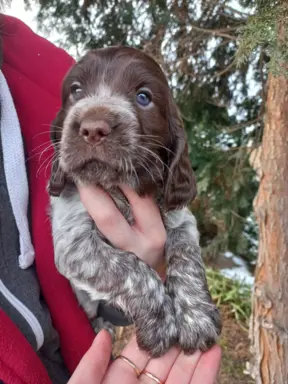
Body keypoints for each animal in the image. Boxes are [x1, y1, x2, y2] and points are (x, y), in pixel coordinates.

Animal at [48, 47, 222, 356]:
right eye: (76, 91)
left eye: (143, 97)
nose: (93, 128)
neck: (118, 187)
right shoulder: (75, 244)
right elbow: (131, 268)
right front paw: (161, 322)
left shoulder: (182, 220)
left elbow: (187, 257)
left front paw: (196, 315)